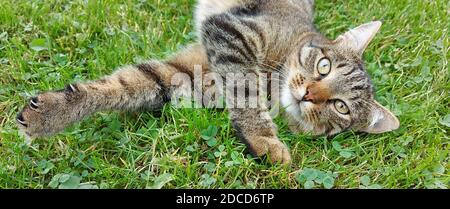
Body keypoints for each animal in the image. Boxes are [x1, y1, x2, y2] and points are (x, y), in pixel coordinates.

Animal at [15, 0, 400, 165]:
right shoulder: (232, 31)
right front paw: (264, 139)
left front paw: (49, 114)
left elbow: (125, 85)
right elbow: (246, 91)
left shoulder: (181, 73)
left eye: (340, 106)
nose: (308, 94)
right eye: (323, 66)